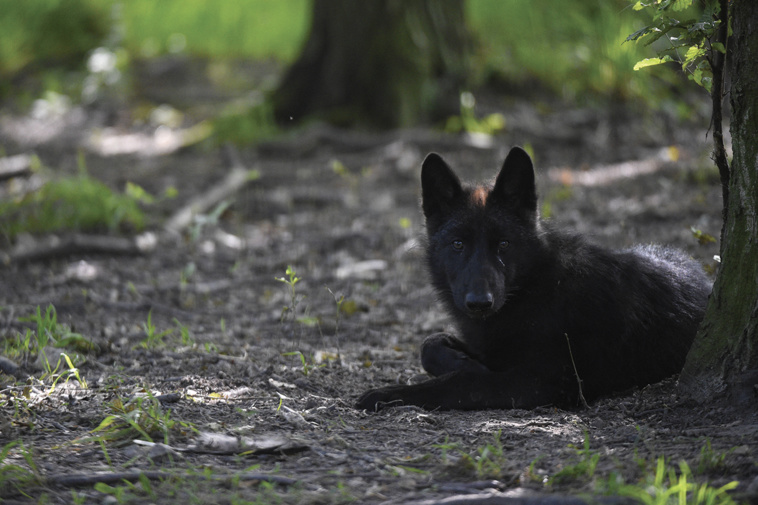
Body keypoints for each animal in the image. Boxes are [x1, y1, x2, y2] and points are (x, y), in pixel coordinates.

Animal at [356, 146, 712, 410]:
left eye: (503, 244)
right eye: (458, 245)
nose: (479, 303)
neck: (535, 289)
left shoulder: (542, 382)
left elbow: (462, 382)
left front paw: (387, 394)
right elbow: (429, 344)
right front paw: (459, 359)